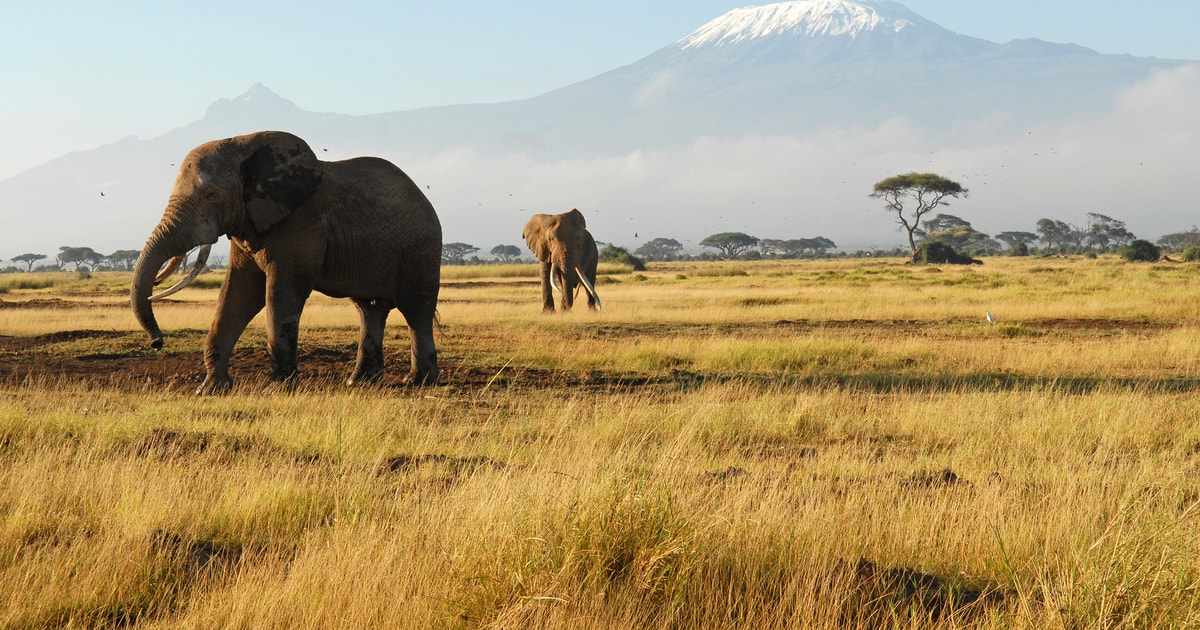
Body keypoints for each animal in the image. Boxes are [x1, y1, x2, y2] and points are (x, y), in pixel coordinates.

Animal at [132, 129, 441, 391]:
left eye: (211, 195)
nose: (157, 342)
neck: (243, 146)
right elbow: (238, 294)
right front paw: (210, 389)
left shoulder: (299, 227)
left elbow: (280, 295)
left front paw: (278, 387)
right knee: (369, 309)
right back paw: (360, 382)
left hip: (421, 249)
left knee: (417, 311)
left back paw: (419, 382)